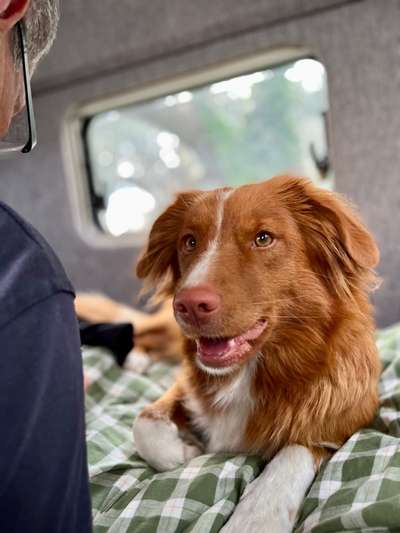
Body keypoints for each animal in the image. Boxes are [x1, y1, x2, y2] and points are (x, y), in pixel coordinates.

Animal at [132, 177, 382, 528]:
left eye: (263, 238)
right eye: (190, 241)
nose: (189, 304)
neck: (251, 371)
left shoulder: (352, 415)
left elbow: (294, 450)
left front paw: (256, 517)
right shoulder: (186, 383)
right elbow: (144, 422)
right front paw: (182, 450)